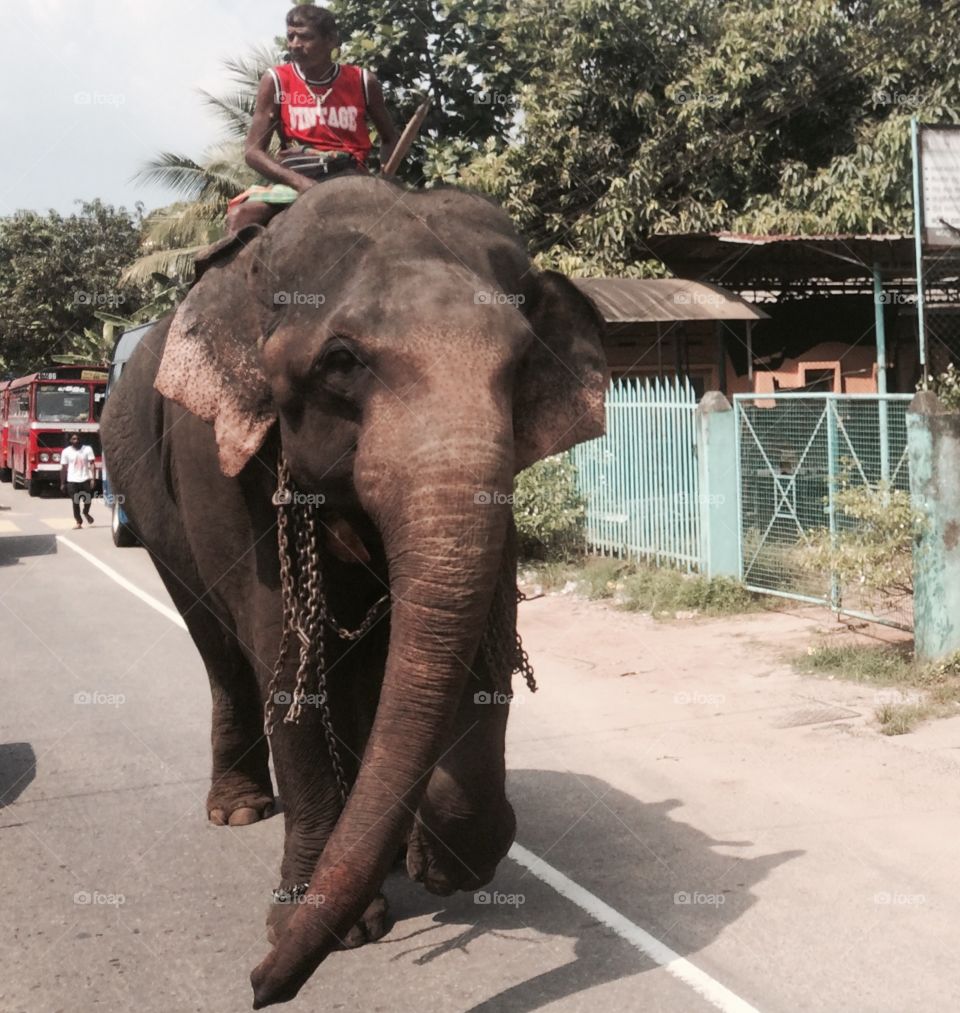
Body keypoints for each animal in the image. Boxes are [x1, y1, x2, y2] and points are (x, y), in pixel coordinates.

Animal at [100, 175, 607, 1008]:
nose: (256, 985)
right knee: (221, 648)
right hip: (144, 499)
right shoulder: (219, 463)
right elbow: (285, 653)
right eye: (342, 360)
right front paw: (328, 922)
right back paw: (239, 810)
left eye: (519, 361)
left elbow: (483, 637)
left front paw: (444, 860)